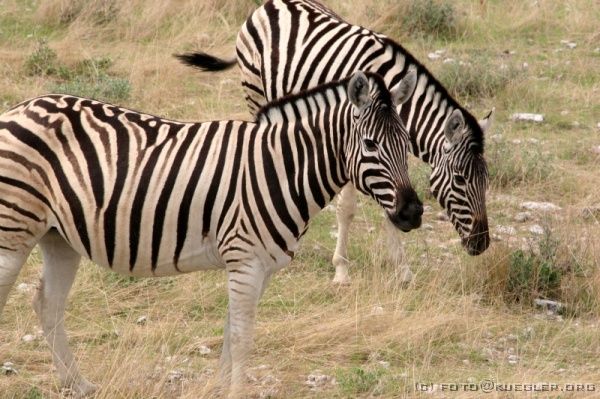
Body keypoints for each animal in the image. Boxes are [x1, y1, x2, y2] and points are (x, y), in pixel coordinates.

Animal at [0, 71, 422, 396]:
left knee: (48, 305)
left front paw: (220, 389)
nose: (413, 213)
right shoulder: (245, 260)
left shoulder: (258, 266)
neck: (281, 167)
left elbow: (231, 332)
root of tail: (20, 108)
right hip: (15, 228)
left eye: (407, 145)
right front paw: (235, 391)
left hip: (59, 238)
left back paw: (79, 384)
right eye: (370, 144)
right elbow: (242, 337)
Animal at [175, 0, 492, 286]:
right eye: (460, 180)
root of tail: (270, 3)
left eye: (486, 181)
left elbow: (389, 203)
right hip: (254, 91)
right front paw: (341, 270)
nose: (482, 244)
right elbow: (347, 209)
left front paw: (403, 272)